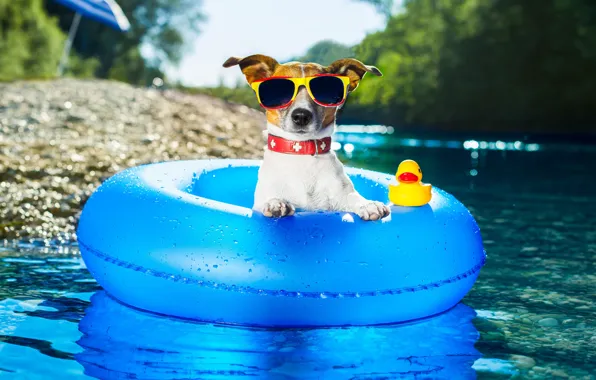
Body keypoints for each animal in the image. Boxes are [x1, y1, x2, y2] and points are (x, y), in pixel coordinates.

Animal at [224, 54, 392, 221]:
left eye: (325, 88)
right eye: (278, 90)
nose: (301, 116)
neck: (301, 152)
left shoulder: (339, 195)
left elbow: (352, 197)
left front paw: (367, 204)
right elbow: (268, 200)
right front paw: (275, 203)